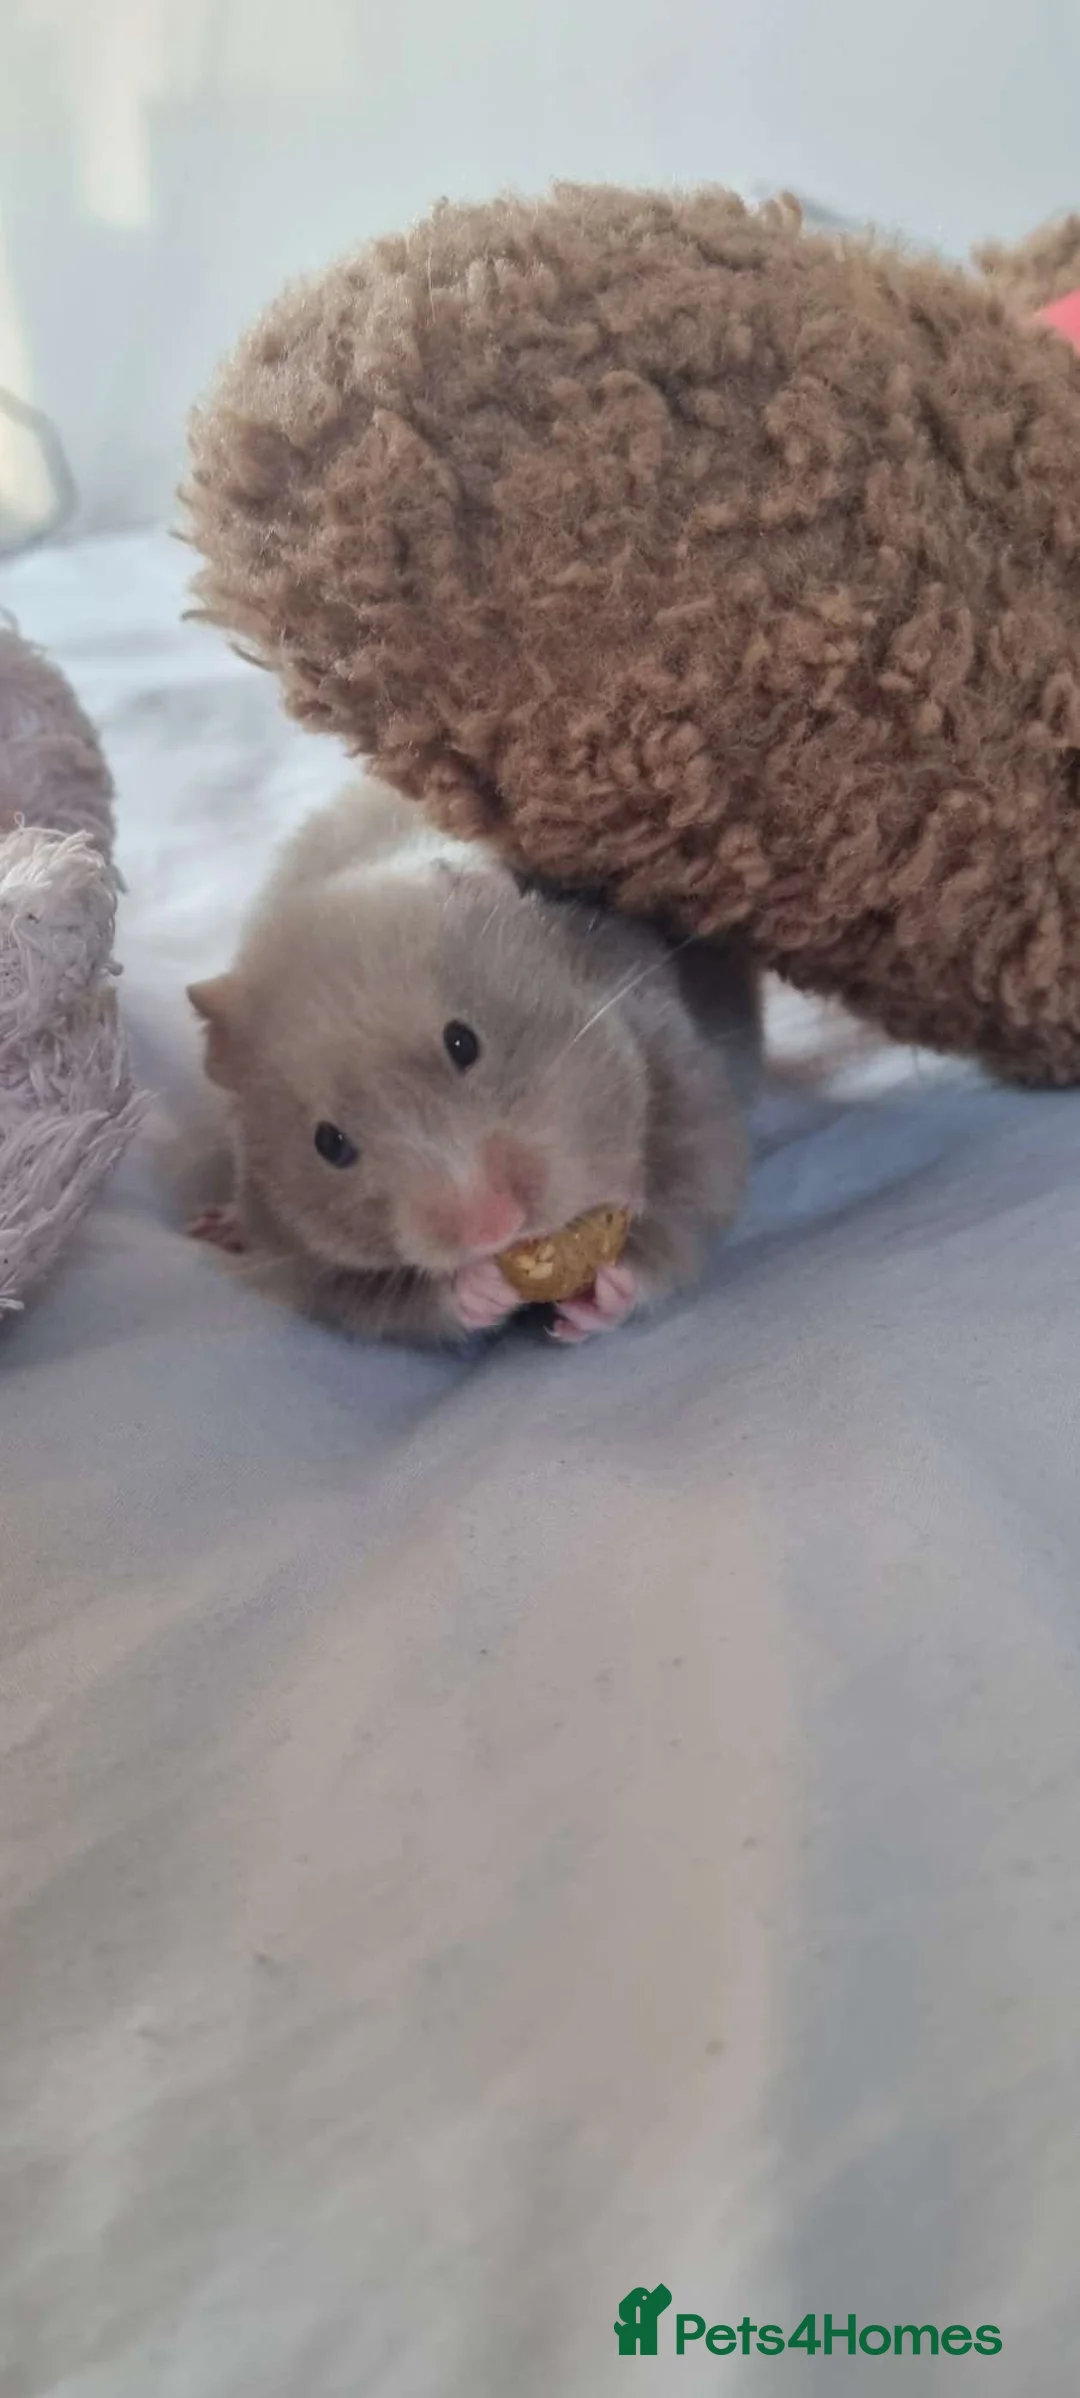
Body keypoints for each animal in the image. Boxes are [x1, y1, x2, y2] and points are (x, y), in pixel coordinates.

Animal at [187, 782, 760, 1347]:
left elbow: (690, 1199)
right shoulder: (305, 1261)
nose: (494, 1229)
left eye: (463, 1043)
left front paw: (601, 1296)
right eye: (330, 1144)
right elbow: (376, 1300)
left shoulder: (676, 1063)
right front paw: (484, 1288)